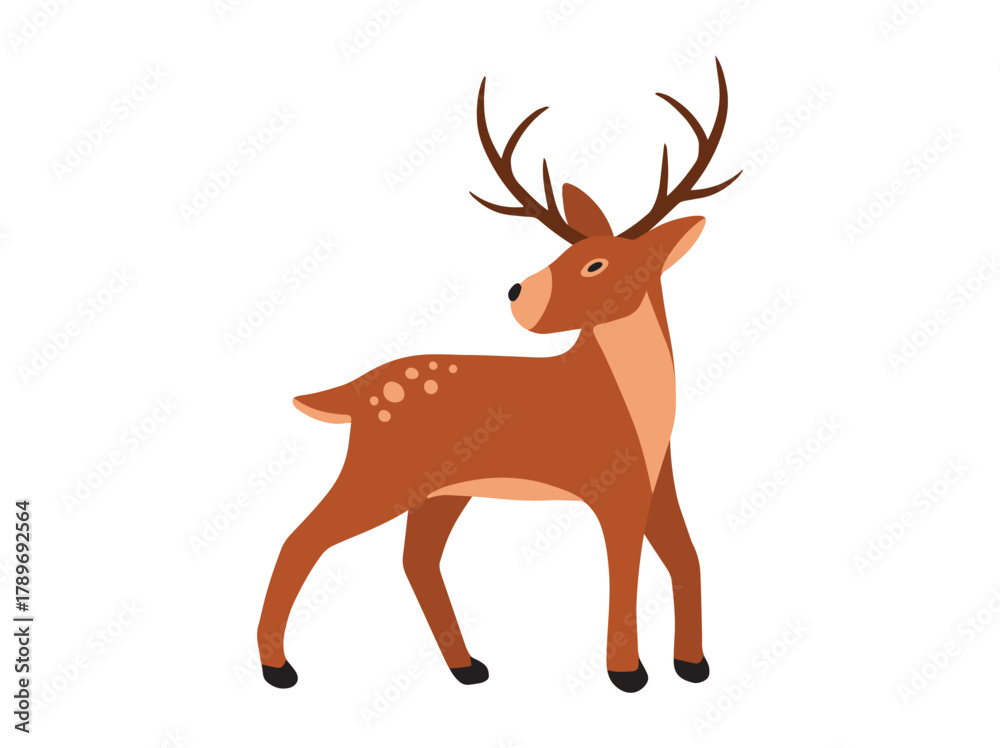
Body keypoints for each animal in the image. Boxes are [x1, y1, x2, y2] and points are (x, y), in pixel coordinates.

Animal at [257, 58, 740, 693]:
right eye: (565, 255)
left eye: (595, 263)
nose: (517, 293)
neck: (640, 403)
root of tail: (354, 393)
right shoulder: (611, 485)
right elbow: (625, 568)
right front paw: (627, 673)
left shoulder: (659, 483)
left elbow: (688, 557)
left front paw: (693, 665)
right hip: (380, 471)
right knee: (301, 538)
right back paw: (277, 668)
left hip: (441, 489)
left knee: (415, 560)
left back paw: (467, 667)